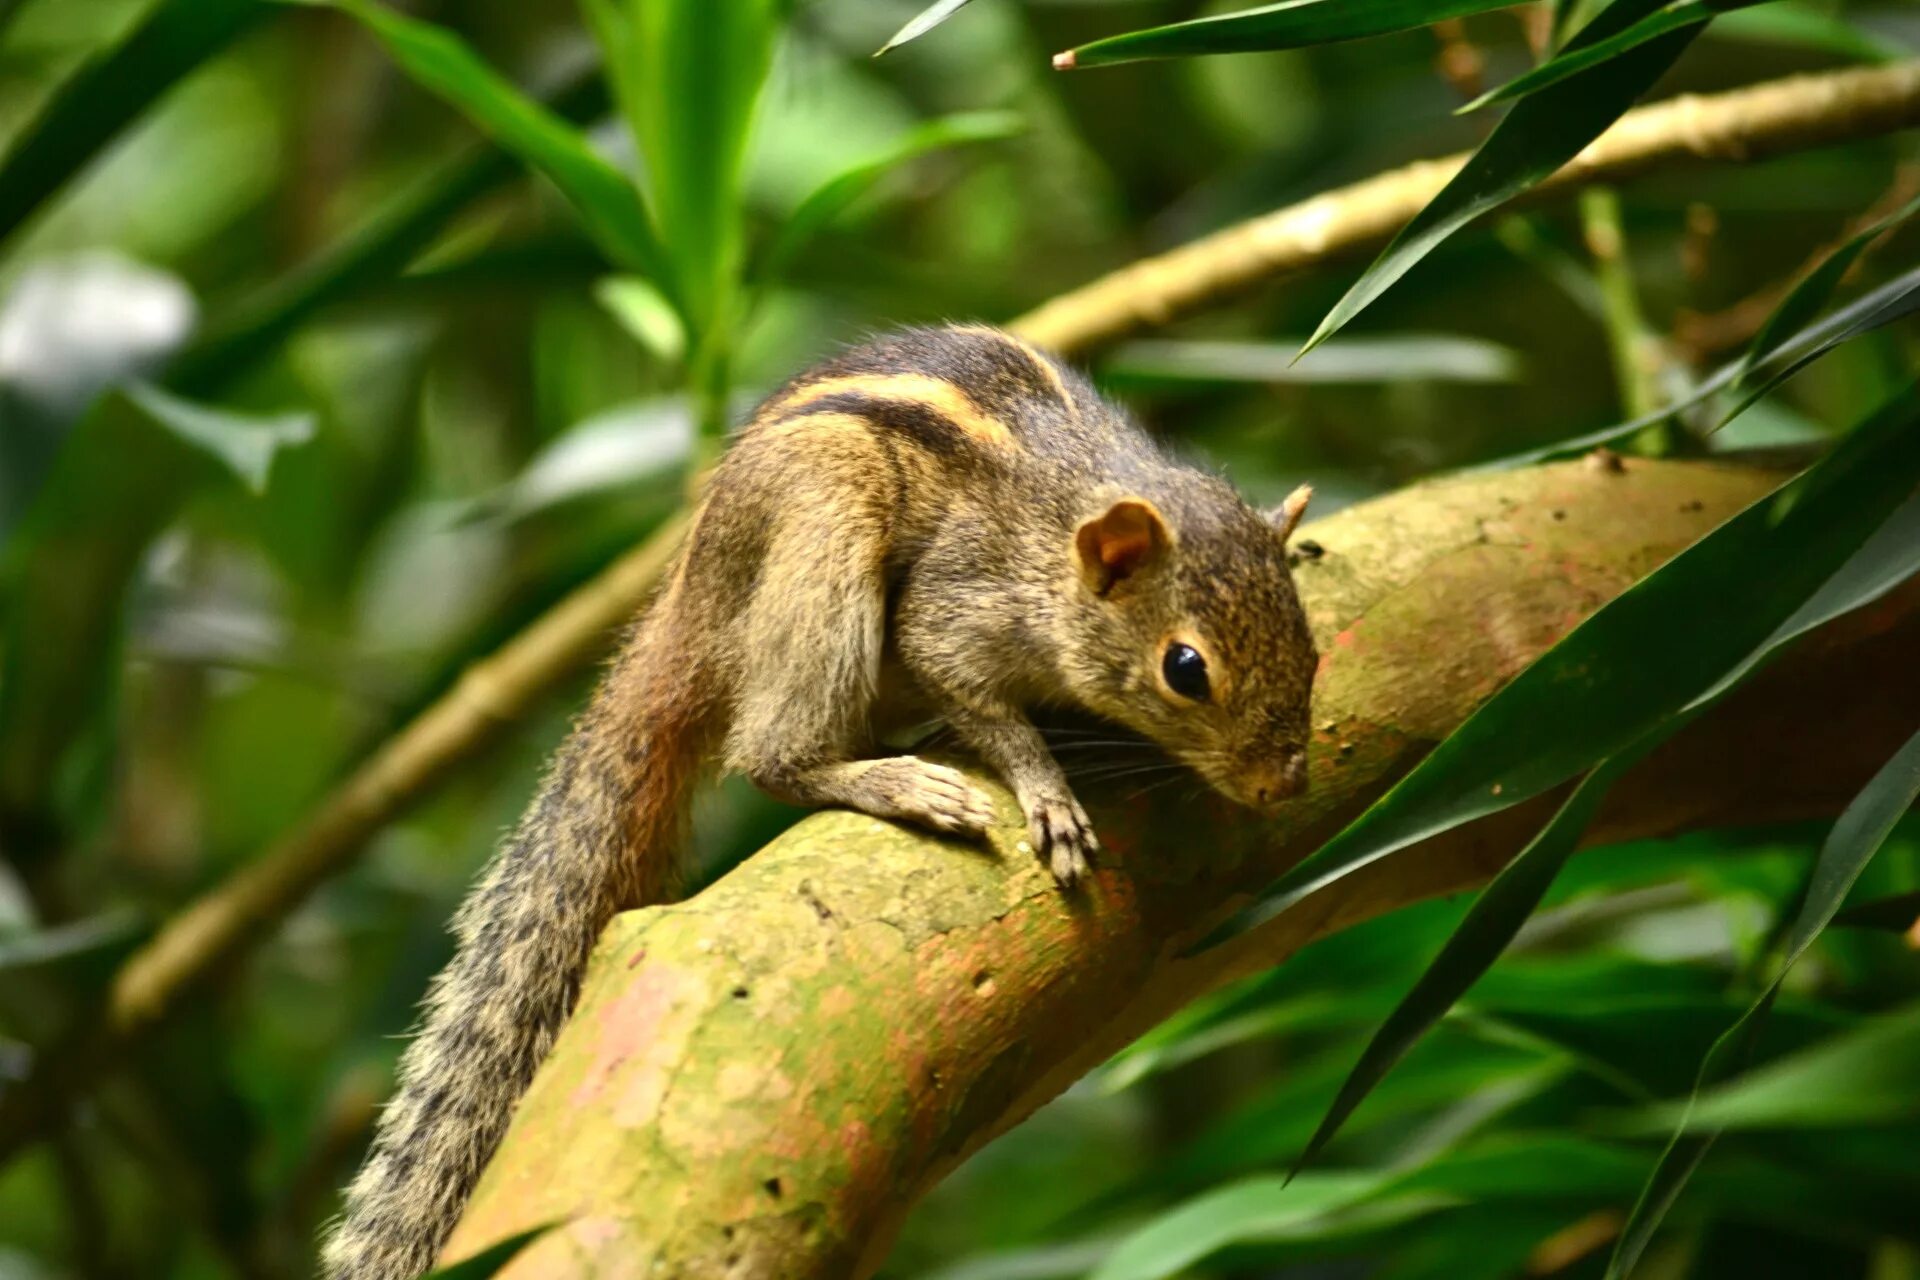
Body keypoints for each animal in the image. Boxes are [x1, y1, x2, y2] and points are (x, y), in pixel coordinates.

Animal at [326, 326, 1320, 1274]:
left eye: (1310, 647)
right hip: (825, 530)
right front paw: (1046, 791)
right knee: (771, 754)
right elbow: (975, 699)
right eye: (1185, 668)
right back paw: (892, 780)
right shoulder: (960, 605)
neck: (1059, 534)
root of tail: (689, 610)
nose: (1283, 784)